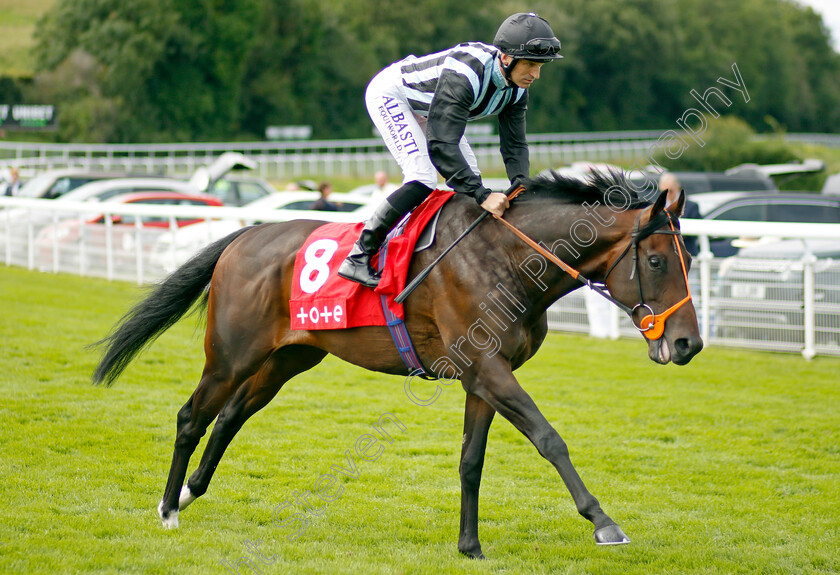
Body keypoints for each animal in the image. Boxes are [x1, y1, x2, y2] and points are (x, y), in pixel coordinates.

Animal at [92, 171, 704, 560]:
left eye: (691, 258)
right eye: (655, 260)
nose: (688, 344)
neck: (507, 257)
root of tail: (247, 234)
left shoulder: (484, 377)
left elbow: (471, 461)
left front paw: (469, 546)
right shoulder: (489, 368)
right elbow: (549, 438)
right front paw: (604, 523)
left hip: (289, 356)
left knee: (231, 415)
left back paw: (189, 493)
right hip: (231, 353)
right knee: (192, 416)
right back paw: (168, 509)